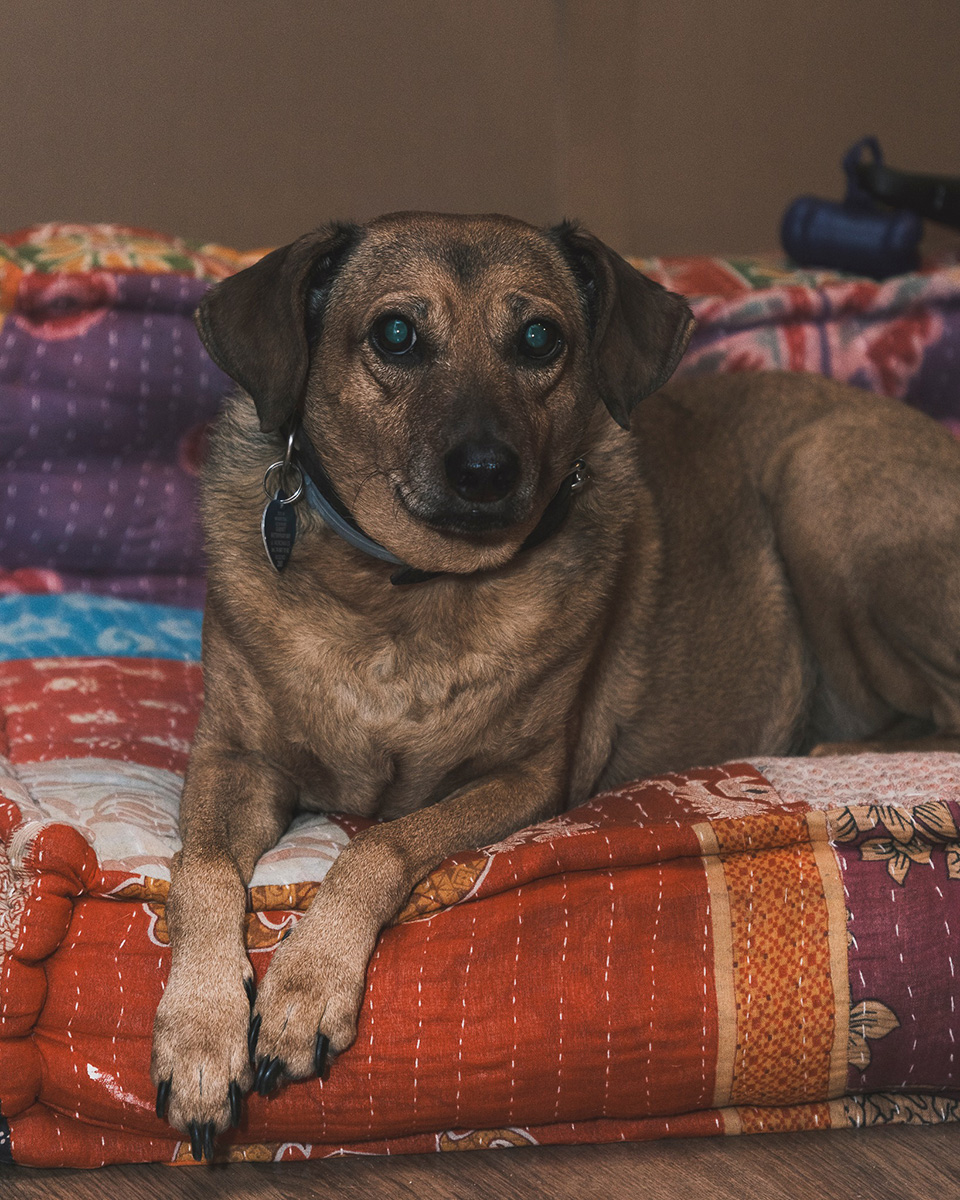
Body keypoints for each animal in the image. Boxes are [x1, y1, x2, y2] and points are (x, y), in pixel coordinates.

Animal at [151, 211, 960, 1157]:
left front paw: (304, 987)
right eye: (395, 334)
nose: (486, 469)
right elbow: (202, 871)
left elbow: (378, 846)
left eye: (540, 339)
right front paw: (200, 1033)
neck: (408, 593)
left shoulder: (526, 779)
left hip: (822, 483)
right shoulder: (234, 760)